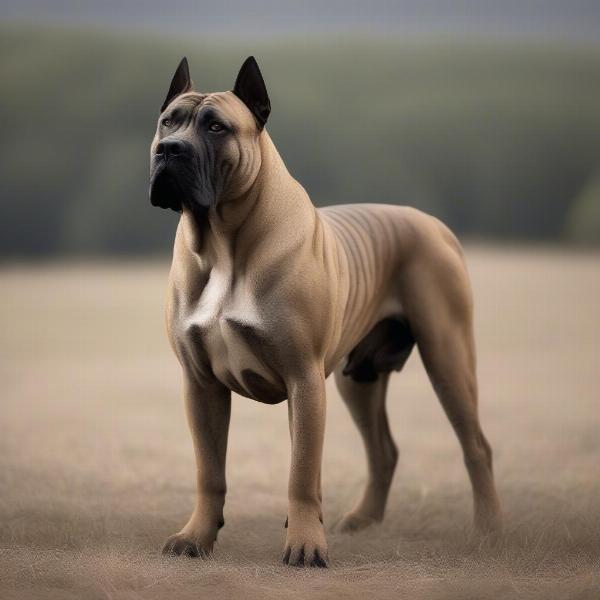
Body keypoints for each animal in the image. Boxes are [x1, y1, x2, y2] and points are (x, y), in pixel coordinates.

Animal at [149, 56, 502, 568]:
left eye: (216, 127)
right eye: (167, 121)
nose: (169, 150)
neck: (220, 241)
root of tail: (434, 225)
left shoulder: (304, 378)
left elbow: (301, 471)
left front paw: (304, 545)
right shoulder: (201, 384)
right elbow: (209, 471)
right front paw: (196, 537)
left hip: (447, 356)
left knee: (476, 445)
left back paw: (489, 530)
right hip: (359, 379)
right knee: (383, 451)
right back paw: (361, 520)